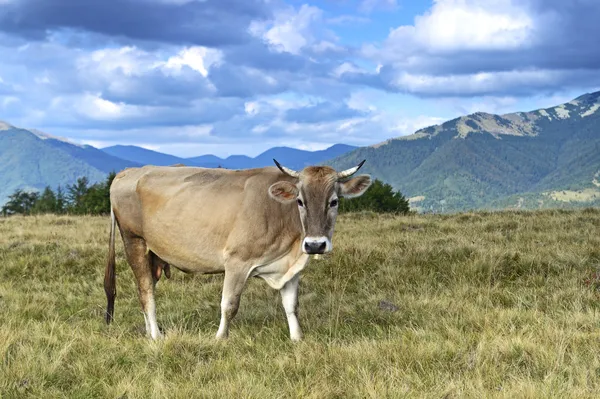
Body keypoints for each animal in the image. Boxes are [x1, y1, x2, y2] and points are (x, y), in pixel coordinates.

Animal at [105, 159, 372, 340]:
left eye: (334, 201)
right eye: (300, 201)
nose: (315, 244)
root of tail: (128, 172)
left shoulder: (289, 266)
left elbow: (291, 305)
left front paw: (297, 338)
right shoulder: (236, 261)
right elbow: (229, 304)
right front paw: (220, 338)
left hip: (154, 254)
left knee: (146, 285)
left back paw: (149, 331)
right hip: (134, 241)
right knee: (145, 291)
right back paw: (156, 335)